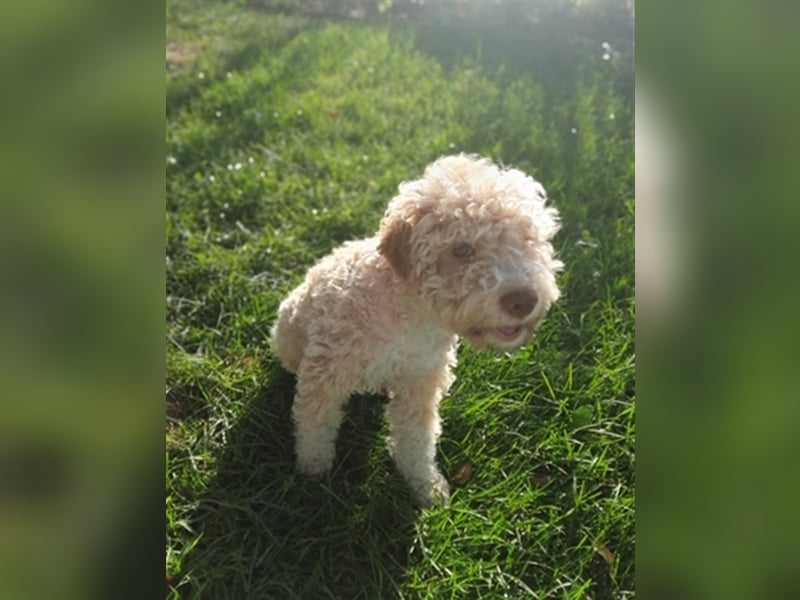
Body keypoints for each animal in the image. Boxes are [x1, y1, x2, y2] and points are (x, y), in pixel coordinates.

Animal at [270, 155, 564, 506]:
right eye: (461, 249)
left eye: (528, 238)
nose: (523, 300)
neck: (410, 319)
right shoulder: (324, 375)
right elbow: (315, 426)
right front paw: (312, 472)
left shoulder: (420, 383)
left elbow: (417, 440)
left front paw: (427, 487)